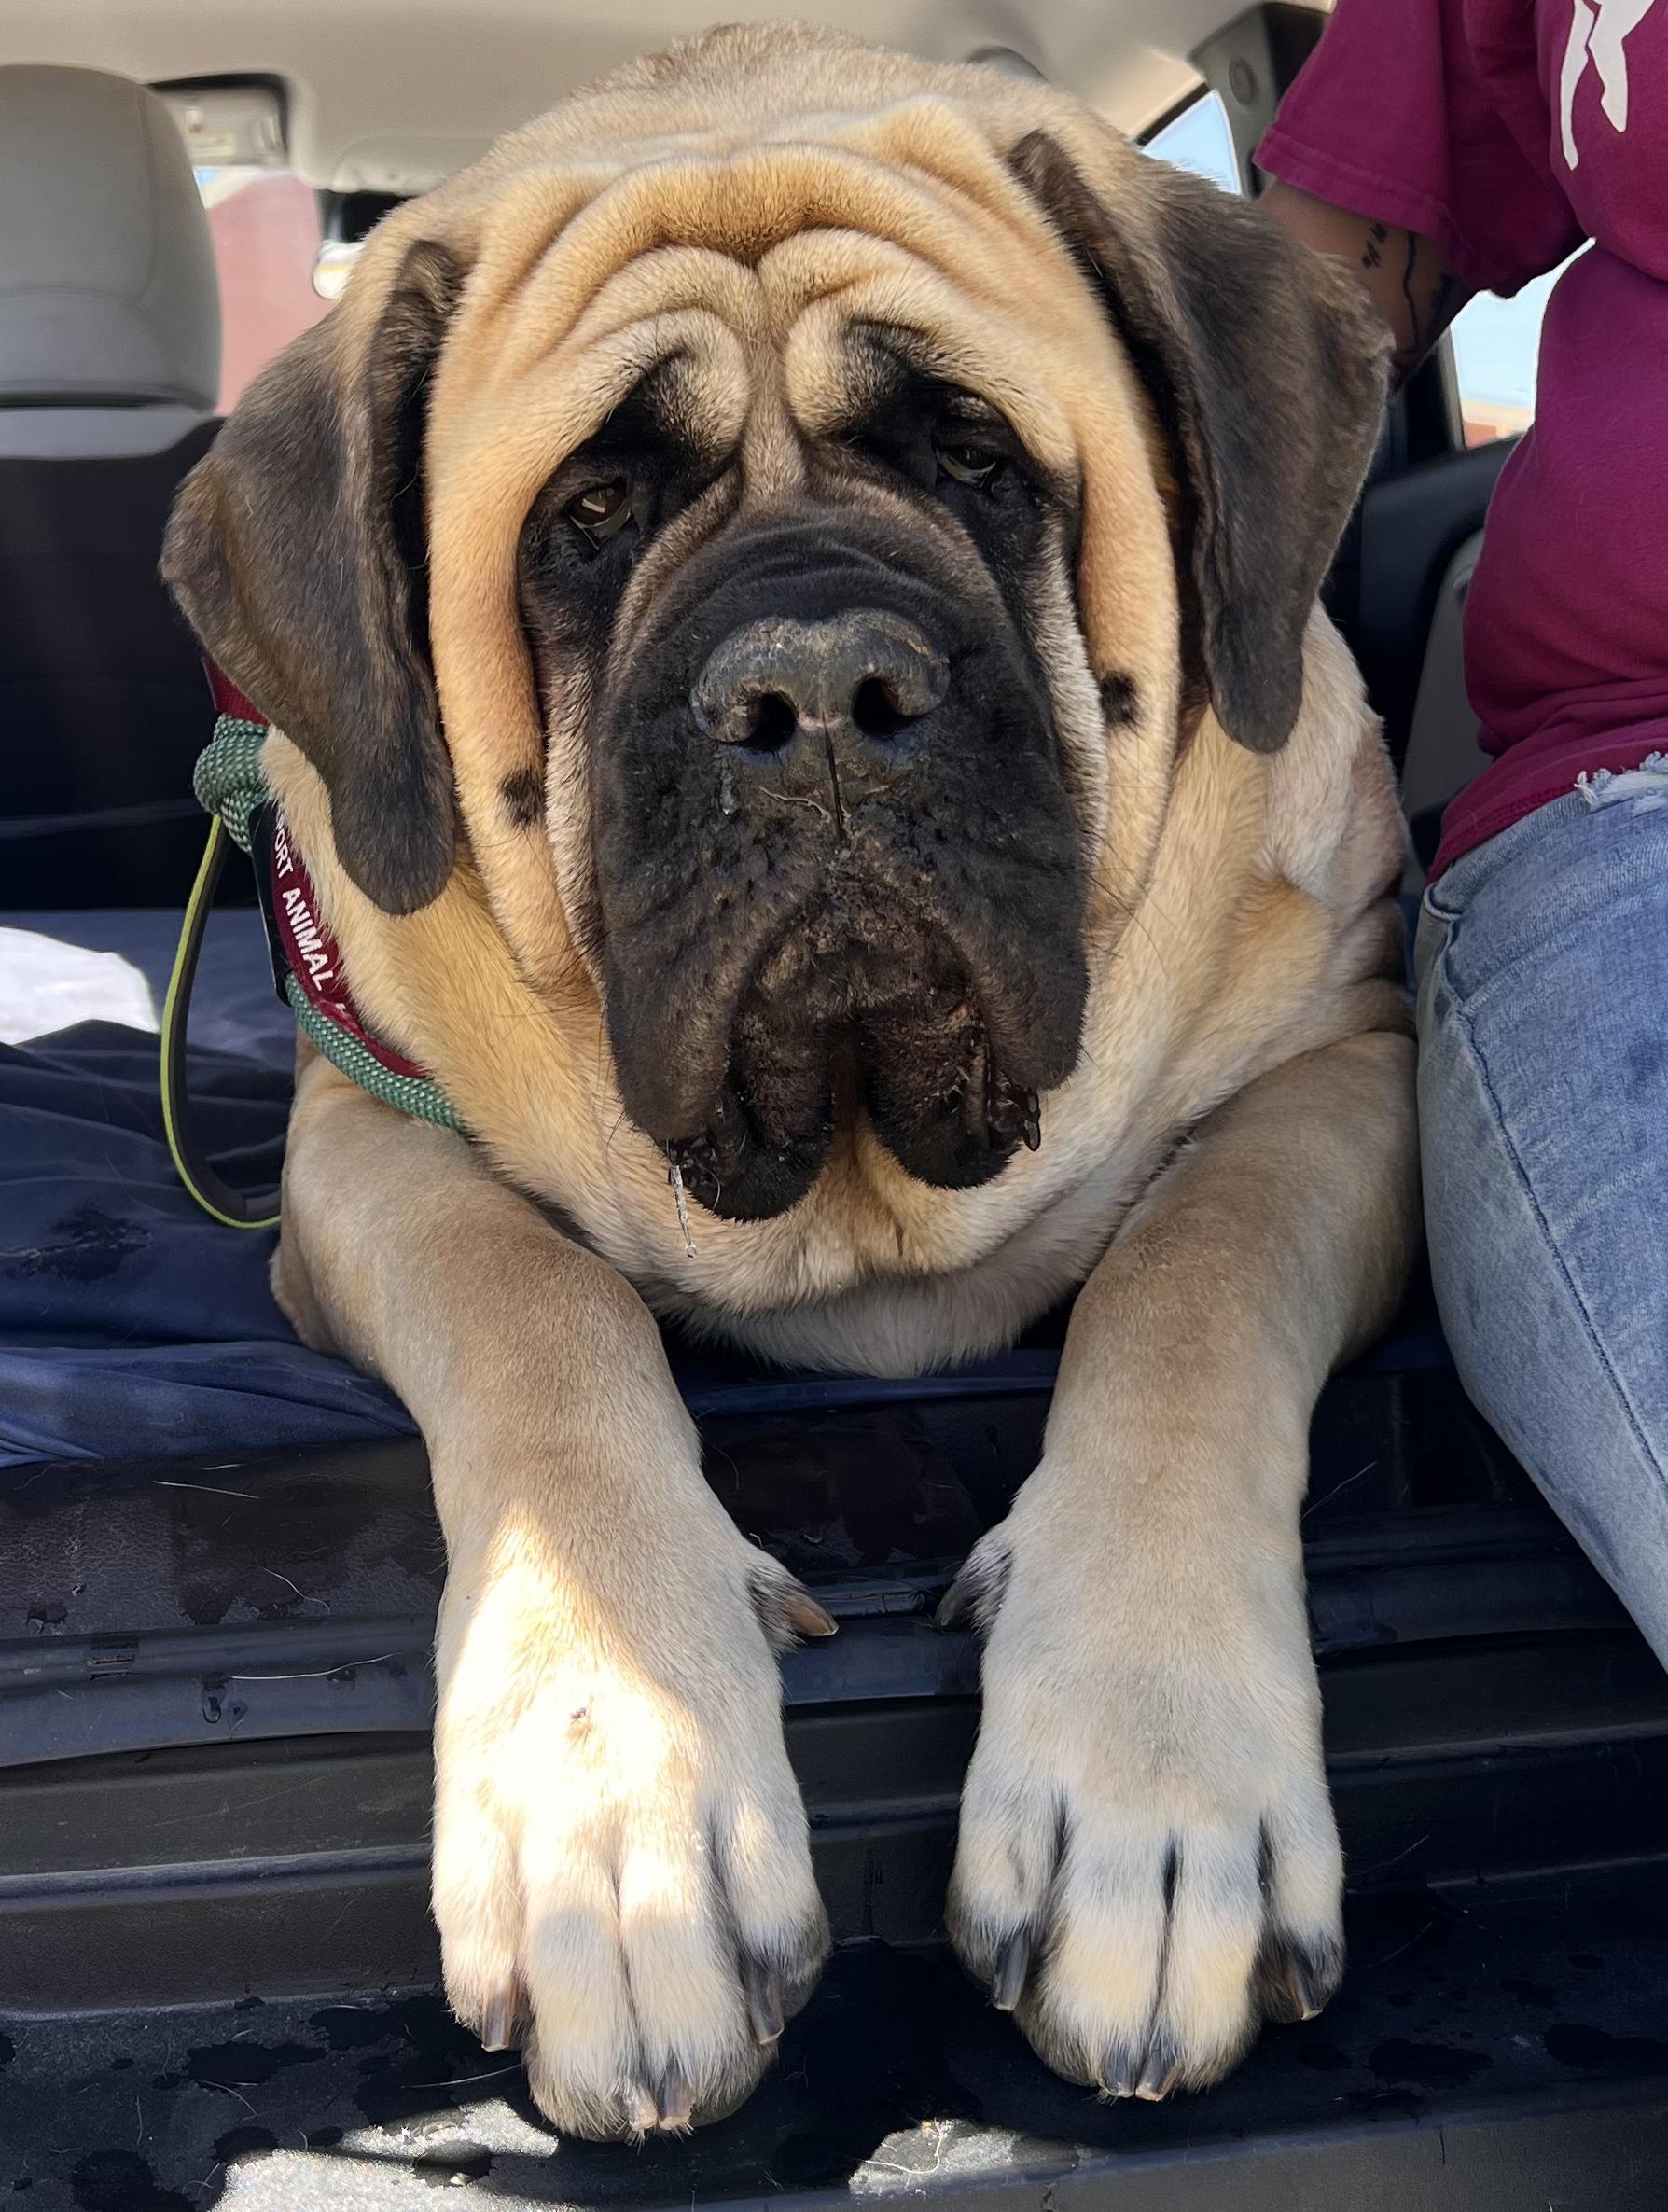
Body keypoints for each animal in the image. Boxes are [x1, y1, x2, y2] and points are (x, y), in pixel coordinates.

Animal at [164, 22, 1417, 2139]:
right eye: (586, 516)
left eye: (977, 460)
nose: (817, 689)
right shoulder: (365, 1140)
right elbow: (538, 1313)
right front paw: (614, 1806)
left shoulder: (1350, 1059)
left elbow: (1193, 1273)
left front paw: (1152, 1783)